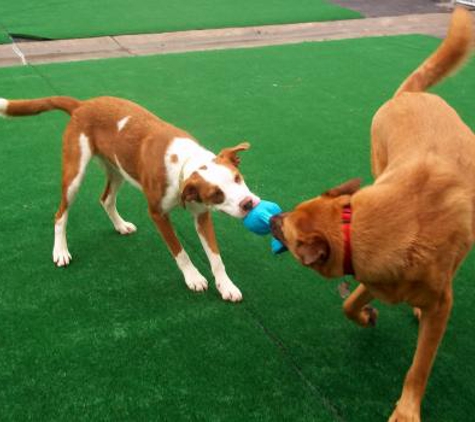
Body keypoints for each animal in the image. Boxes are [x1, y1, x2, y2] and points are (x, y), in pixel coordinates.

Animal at [0, 95, 260, 302]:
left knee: (105, 199)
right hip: (74, 175)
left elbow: (215, 257)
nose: (248, 204)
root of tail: (83, 104)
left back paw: (120, 225)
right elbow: (180, 252)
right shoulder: (157, 214)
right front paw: (193, 277)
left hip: (117, 169)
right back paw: (60, 251)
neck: (183, 161)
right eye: (217, 195)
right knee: (60, 214)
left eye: (237, 178)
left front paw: (226, 285)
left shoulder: (202, 215)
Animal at [272, 6, 475, 422]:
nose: (269, 218)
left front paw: (408, 409)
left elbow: (420, 366)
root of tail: (410, 95)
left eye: (287, 228)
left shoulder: (439, 306)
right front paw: (365, 317)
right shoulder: (373, 275)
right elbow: (349, 303)